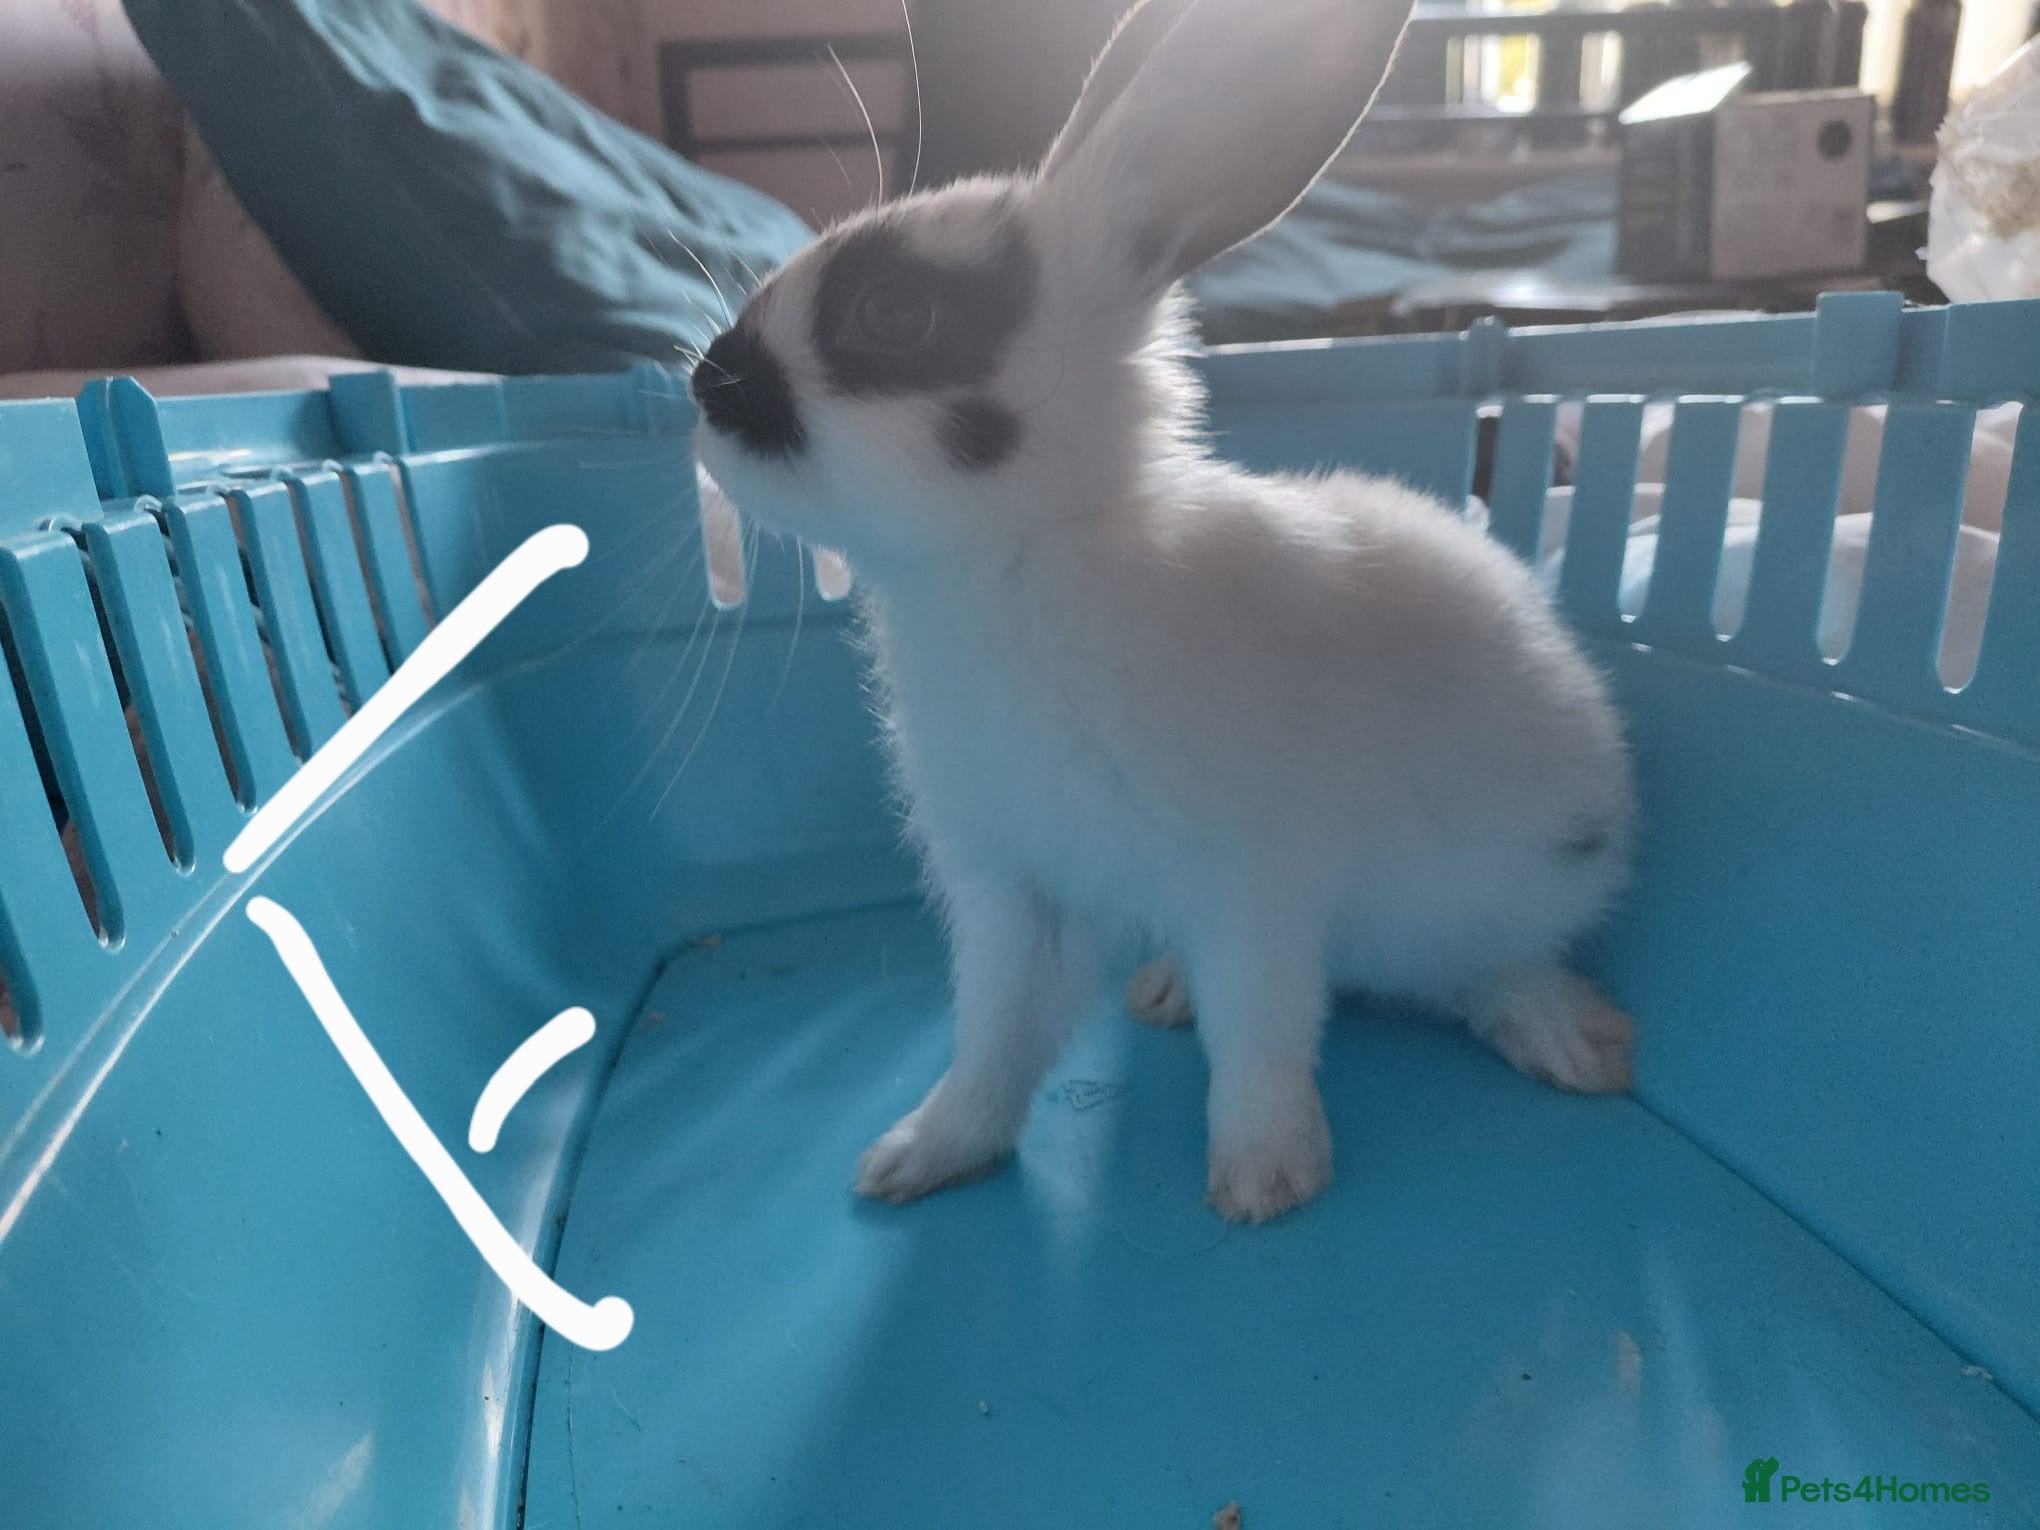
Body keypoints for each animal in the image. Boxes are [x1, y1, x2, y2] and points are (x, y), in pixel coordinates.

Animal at [688, 0, 1636, 1223]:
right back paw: (1160, 992)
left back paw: (1580, 1041)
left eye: (895, 311)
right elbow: (994, 1041)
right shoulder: (1016, 894)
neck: (1019, 557)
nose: (703, 387)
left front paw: (1265, 1181)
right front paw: (917, 1157)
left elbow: (1261, 1037)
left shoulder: (1254, 888)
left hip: (1500, 889)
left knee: (1488, 966)